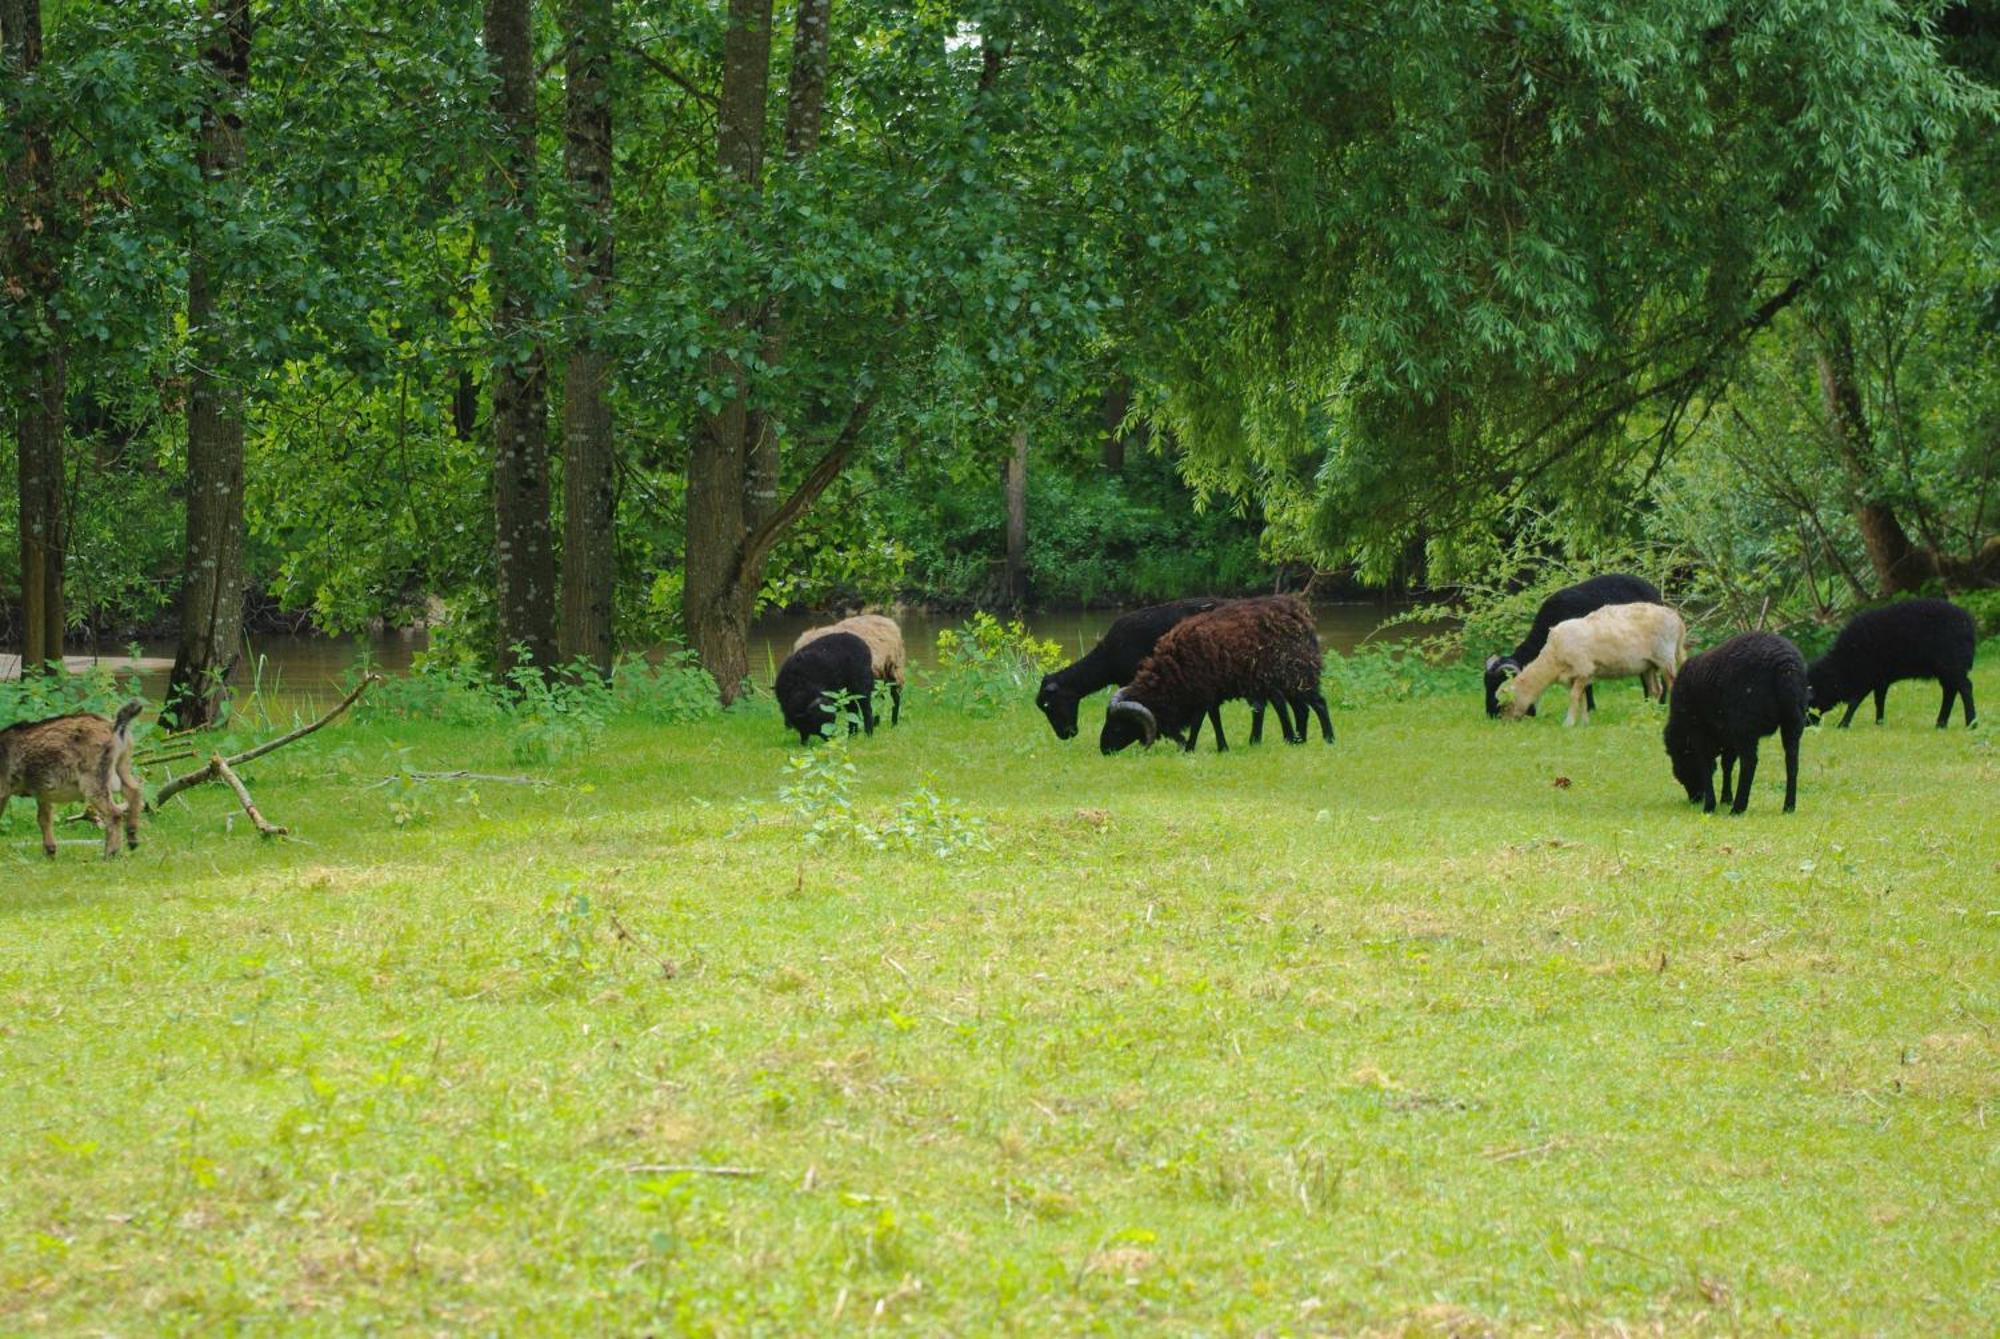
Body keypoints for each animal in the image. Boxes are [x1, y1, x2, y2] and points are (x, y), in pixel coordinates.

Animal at [1096, 599, 1328, 755]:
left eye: (1118, 726)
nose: (1104, 750)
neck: (1172, 674)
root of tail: (1300, 612)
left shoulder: (1202, 691)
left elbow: (1199, 721)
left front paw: (1189, 748)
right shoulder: (1209, 693)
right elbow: (1214, 719)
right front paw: (1222, 747)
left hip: (1296, 674)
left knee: (1317, 703)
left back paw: (1327, 740)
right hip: (1289, 681)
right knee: (1300, 708)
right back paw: (1299, 740)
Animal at [1480, 571, 1664, 719]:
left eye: (1500, 684)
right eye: (1486, 684)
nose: (1490, 715)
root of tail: (1654, 591)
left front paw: (1590, 709)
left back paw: (1659, 706)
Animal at [1504, 599, 1688, 723]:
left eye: (1508, 702)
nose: (1506, 722)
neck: (1552, 658)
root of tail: (1677, 619)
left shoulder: (1583, 669)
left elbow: (1574, 697)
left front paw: (1568, 723)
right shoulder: (1578, 676)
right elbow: (1582, 698)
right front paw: (1584, 723)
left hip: (1665, 658)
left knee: (1672, 685)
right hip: (1648, 664)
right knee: (1655, 690)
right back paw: (1650, 714)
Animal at [1656, 635, 1816, 819]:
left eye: (1681, 764)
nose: (1695, 798)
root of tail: (1786, 665)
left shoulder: (1700, 732)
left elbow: (1706, 764)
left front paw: (1710, 806)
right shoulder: (1728, 735)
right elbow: (1727, 764)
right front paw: (1726, 798)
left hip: (1745, 724)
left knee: (1749, 762)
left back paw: (1738, 808)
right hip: (1794, 720)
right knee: (1792, 762)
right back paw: (1788, 807)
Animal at [1808, 599, 1976, 727]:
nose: (1807, 724)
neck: (1842, 665)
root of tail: (1968, 622)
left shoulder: (1866, 677)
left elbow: (1854, 702)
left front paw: (1843, 724)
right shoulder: (1880, 679)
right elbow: (1878, 701)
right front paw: (1879, 723)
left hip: (1951, 663)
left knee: (1965, 687)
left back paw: (1971, 723)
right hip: (1945, 669)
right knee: (1950, 690)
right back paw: (1941, 723)